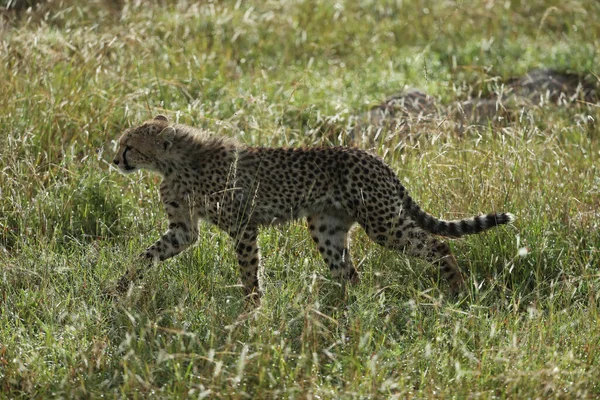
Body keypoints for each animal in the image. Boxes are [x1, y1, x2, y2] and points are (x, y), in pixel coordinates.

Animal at [113, 114, 516, 302]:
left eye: (129, 146)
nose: (114, 160)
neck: (175, 163)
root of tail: (373, 156)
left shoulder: (243, 224)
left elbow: (248, 271)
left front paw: (252, 311)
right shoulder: (183, 230)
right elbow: (146, 255)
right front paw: (117, 288)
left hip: (384, 223)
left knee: (438, 245)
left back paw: (457, 290)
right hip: (326, 228)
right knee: (350, 274)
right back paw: (345, 309)